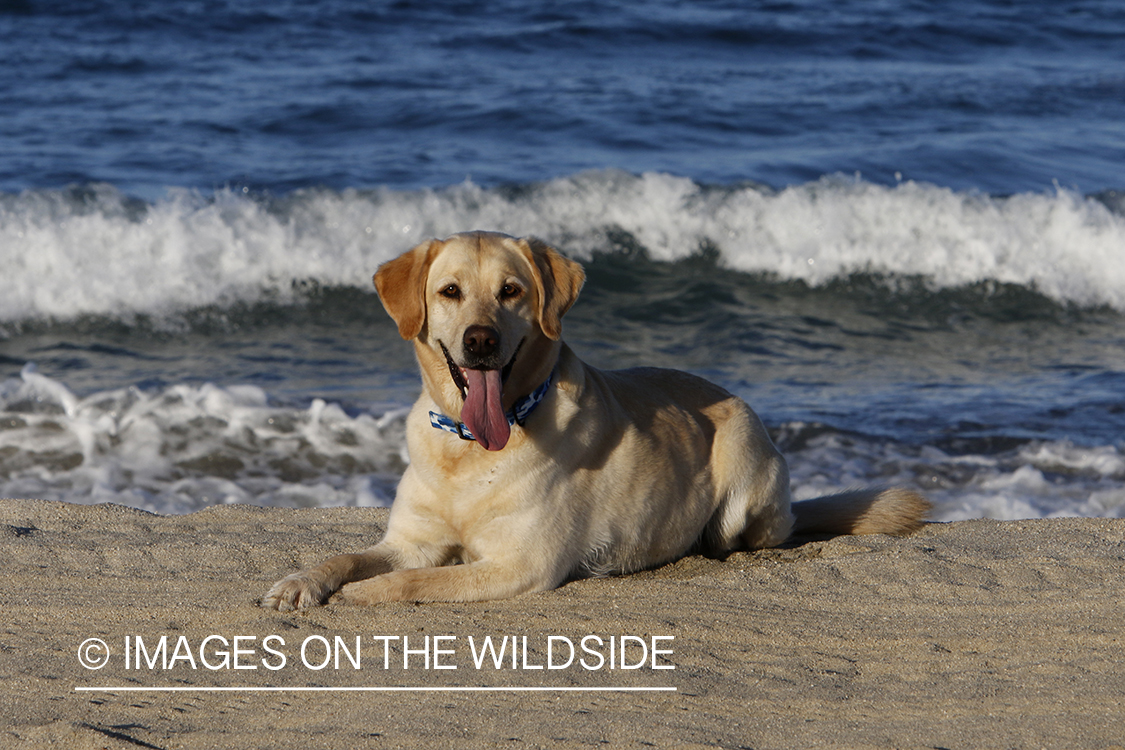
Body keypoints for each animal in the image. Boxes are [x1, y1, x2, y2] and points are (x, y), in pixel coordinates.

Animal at [261, 231, 922, 611]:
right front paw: (302, 580)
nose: (480, 341)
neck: (469, 449)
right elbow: (345, 556)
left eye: (511, 291)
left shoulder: (520, 565)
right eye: (449, 291)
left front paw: (365, 593)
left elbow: (415, 583)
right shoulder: (409, 542)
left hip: (743, 478)